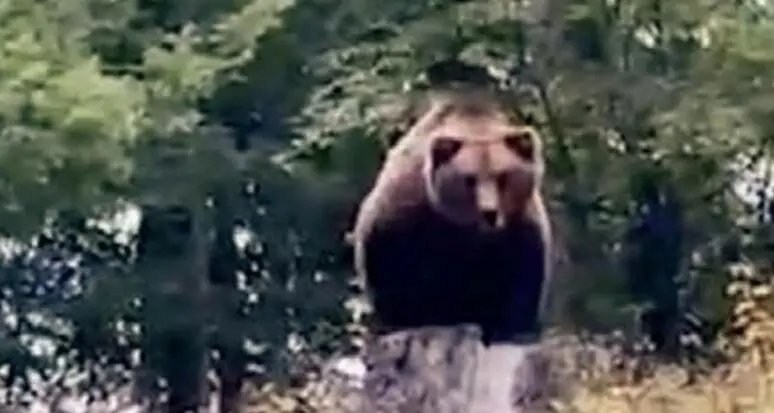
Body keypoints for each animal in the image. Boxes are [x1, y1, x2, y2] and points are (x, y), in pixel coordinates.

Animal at [351, 85, 553, 345]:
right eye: (469, 179)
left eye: (502, 176)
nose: (489, 212)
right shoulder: (407, 216)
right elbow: (392, 267)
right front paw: (401, 320)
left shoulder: (518, 227)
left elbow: (523, 276)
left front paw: (514, 329)